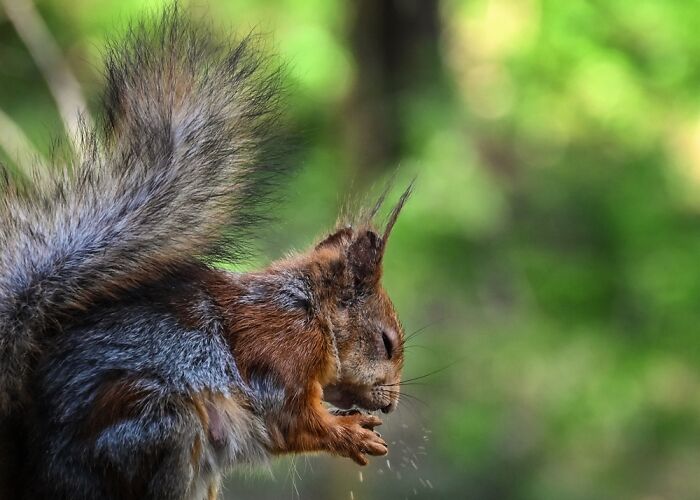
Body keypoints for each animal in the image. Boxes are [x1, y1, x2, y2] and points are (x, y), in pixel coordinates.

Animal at [0, 6, 411, 500]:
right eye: (386, 343)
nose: (391, 407)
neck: (309, 310)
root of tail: (34, 468)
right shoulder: (281, 356)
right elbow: (292, 421)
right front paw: (350, 434)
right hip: (160, 426)